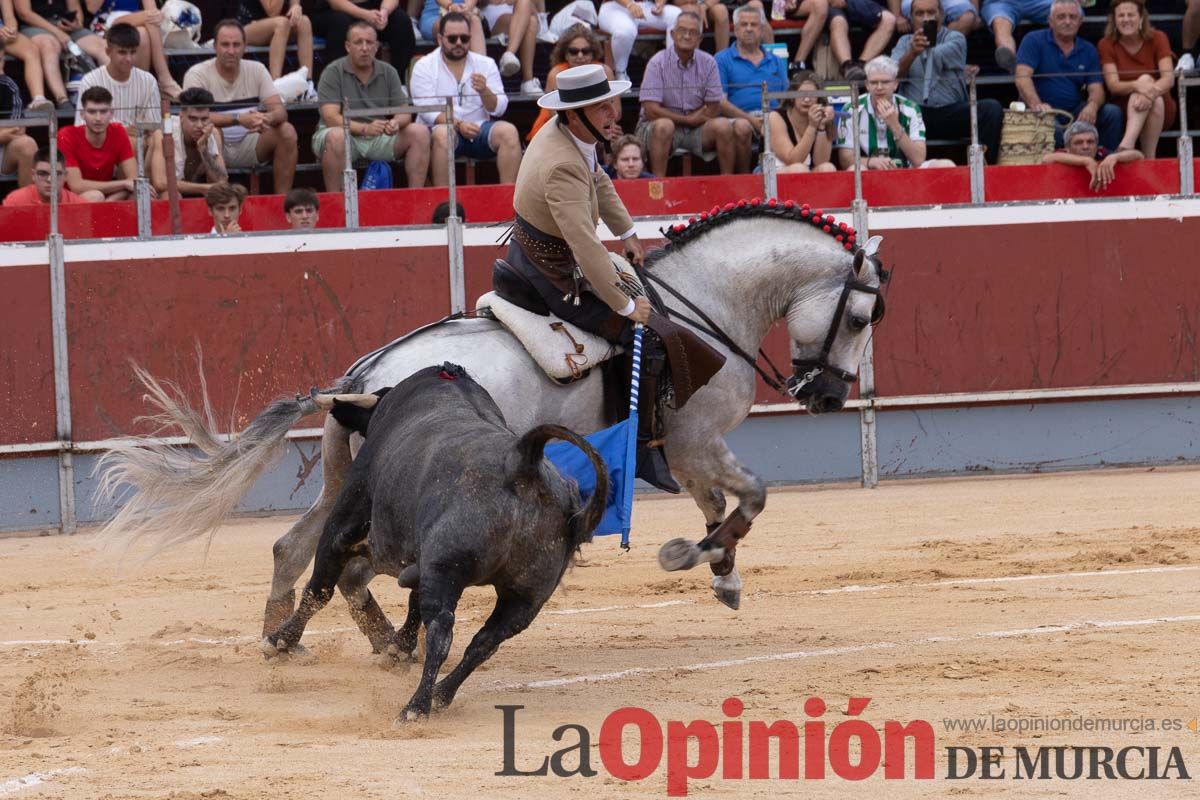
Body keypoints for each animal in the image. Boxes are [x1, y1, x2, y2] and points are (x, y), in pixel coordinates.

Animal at [100, 203, 883, 647]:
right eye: (862, 316)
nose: (827, 396)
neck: (704, 302)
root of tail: (360, 378)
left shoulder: (684, 451)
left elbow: (721, 504)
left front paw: (720, 575)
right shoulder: (697, 439)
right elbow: (750, 497)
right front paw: (701, 563)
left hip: (340, 483)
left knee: (296, 550)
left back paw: (299, 641)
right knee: (345, 564)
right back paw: (379, 644)